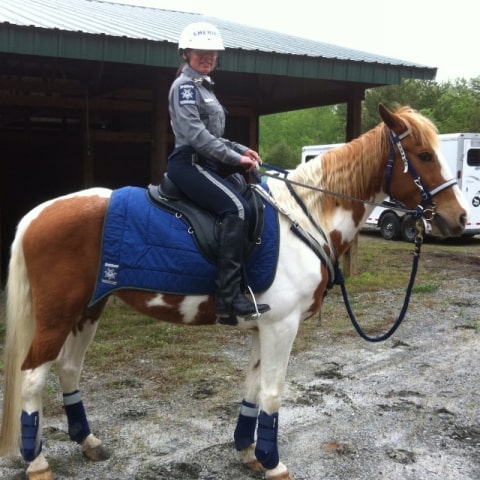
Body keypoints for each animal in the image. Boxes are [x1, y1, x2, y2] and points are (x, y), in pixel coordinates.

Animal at [0, 105, 466, 480]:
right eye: (424, 156)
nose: (458, 218)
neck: (304, 218)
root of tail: (37, 213)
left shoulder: (265, 326)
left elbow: (253, 387)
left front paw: (249, 452)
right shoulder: (282, 326)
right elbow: (274, 393)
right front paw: (274, 463)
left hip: (89, 309)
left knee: (69, 369)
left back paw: (88, 442)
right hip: (59, 316)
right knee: (32, 378)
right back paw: (37, 461)